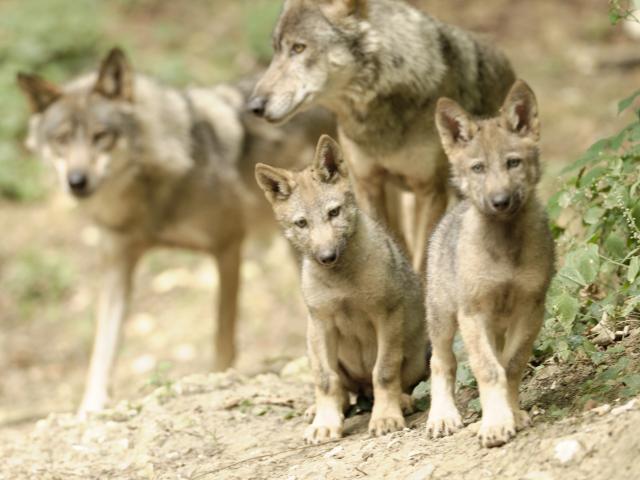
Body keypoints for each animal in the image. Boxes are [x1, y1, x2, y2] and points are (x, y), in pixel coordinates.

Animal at [17, 48, 334, 415]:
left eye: (101, 136)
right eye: (61, 140)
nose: (77, 181)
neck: (147, 198)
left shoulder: (228, 244)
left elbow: (223, 335)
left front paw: (217, 378)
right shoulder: (117, 265)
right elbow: (103, 347)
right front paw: (91, 407)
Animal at [248, 0, 516, 272]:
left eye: (298, 48)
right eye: (276, 51)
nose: (254, 106)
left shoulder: (429, 190)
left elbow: (421, 260)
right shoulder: (367, 185)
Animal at [255, 135, 427, 443]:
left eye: (333, 212)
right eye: (302, 223)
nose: (326, 256)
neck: (342, 281)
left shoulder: (387, 316)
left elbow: (384, 372)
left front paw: (386, 417)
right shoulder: (322, 322)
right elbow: (326, 380)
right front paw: (325, 423)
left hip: (416, 354)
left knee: (401, 382)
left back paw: (401, 401)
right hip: (312, 344)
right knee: (341, 391)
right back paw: (320, 410)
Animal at [425, 80, 555, 447]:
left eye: (513, 163)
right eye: (478, 168)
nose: (500, 201)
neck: (505, 246)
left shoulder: (531, 308)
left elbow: (510, 366)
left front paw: (511, 415)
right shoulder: (472, 313)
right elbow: (487, 368)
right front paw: (495, 423)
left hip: (496, 324)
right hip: (442, 318)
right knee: (441, 363)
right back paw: (442, 417)